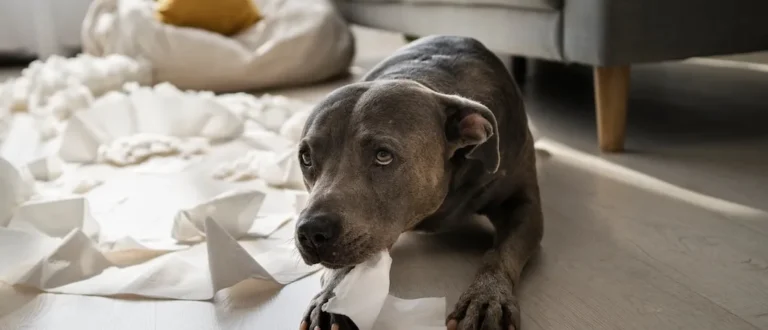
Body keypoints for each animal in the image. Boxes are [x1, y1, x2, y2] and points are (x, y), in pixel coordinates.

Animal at [296, 36, 544, 330]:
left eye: (383, 155)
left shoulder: (523, 206)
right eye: (306, 158)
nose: (311, 231)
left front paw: (488, 297)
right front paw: (330, 297)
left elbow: (500, 253)